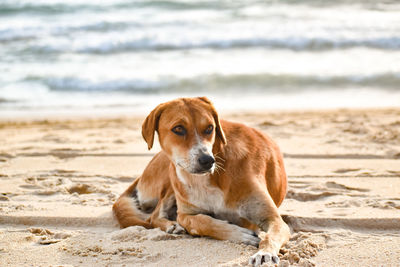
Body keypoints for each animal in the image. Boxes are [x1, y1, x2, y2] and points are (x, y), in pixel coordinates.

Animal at [112, 97, 290, 266]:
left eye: (210, 128)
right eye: (178, 129)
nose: (207, 161)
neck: (208, 179)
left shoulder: (273, 219)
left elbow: (270, 236)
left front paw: (265, 254)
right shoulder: (185, 213)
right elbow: (201, 221)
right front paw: (240, 234)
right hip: (170, 177)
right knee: (153, 216)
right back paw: (172, 226)